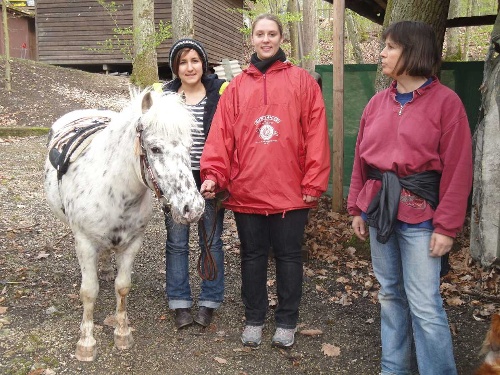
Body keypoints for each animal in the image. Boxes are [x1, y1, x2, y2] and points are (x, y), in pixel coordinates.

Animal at [44, 88, 204, 362]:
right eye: (155, 148)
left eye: (189, 147)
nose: (193, 208)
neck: (115, 191)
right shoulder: (85, 243)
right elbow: (89, 291)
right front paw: (86, 343)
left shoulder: (132, 244)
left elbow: (122, 287)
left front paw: (122, 333)